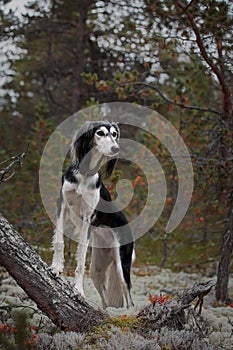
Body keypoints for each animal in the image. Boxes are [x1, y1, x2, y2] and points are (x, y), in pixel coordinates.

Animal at [51, 121, 135, 308]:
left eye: (114, 134)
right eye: (100, 133)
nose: (115, 148)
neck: (85, 174)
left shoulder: (88, 218)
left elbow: (81, 257)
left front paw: (79, 291)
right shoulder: (62, 205)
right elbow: (59, 241)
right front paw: (56, 267)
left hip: (122, 265)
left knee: (129, 298)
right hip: (97, 269)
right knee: (105, 300)